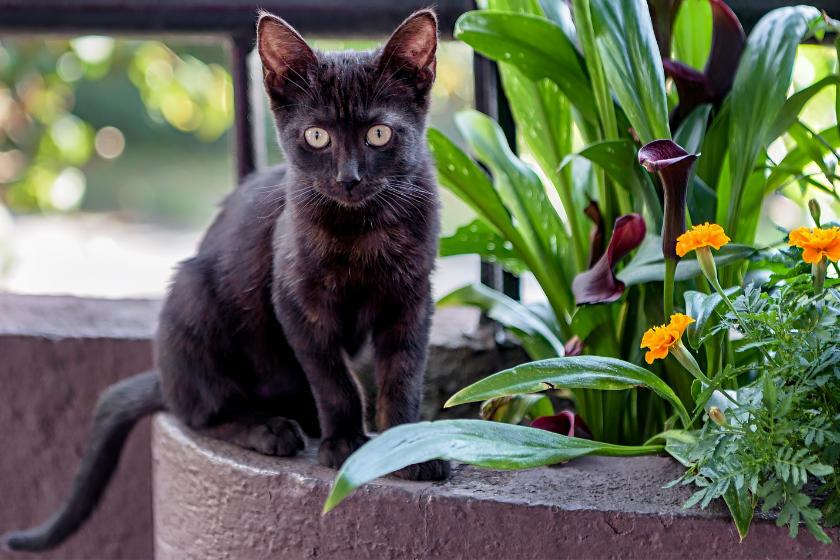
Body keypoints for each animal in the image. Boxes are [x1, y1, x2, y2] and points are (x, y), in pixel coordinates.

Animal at [3, 10, 450, 552]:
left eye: (380, 135)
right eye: (316, 136)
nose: (349, 179)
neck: (362, 229)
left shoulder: (413, 300)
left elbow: (403, 375)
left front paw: (407, 447)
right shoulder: (296, 302)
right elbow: (333, 379)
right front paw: (345, 443)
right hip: (191, 296)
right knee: (199, 412)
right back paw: (270, 429)